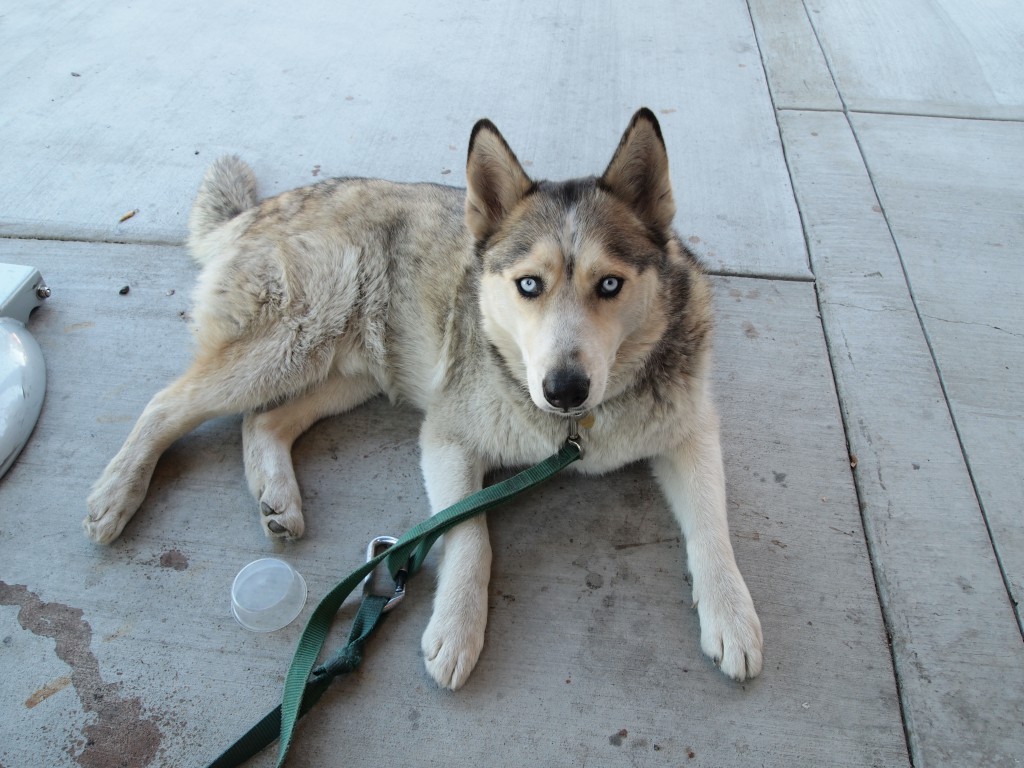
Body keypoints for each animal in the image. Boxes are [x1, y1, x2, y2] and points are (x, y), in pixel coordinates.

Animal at [86, 109, 761, 692]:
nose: (564, 388)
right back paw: (118, 492)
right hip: (293, 339)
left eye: (611, 284)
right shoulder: (449, 436)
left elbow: (711, 524)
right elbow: (470, 535)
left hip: (345, 367)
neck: (580, 426)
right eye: (529, 285)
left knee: (264, 420)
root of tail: (265, 206)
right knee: (167, 404)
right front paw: (457, 626)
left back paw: (275, 493)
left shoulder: (690, 432)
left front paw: (730, 611)